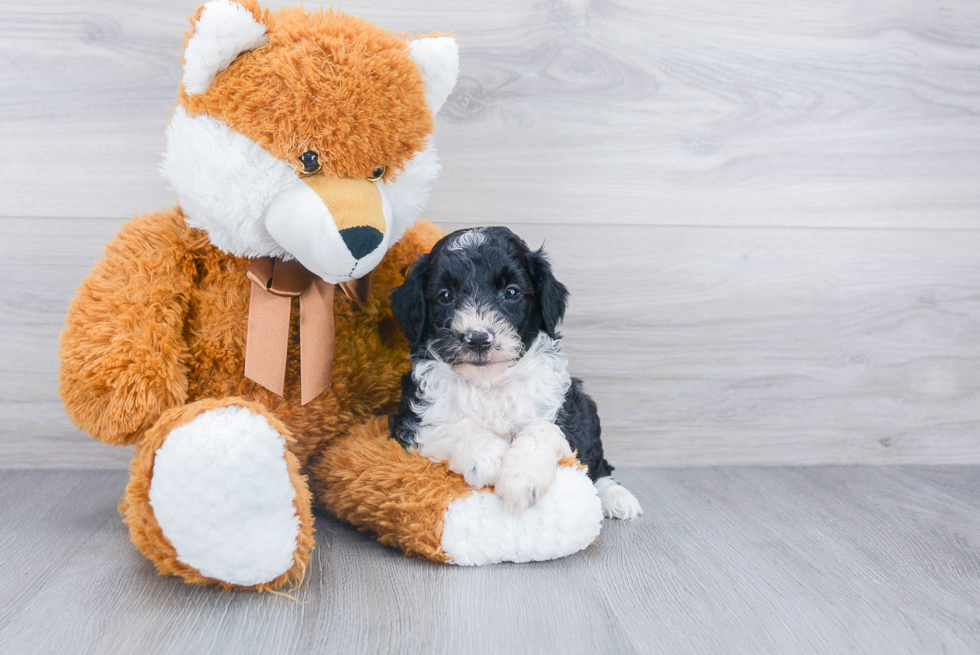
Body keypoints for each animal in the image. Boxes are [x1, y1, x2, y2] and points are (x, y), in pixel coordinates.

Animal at [390, 228, 644, 520]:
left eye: (511, 292)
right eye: (445, 296)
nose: (478, 338)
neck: (489, 382)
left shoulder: (565, 415)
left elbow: (542, 429)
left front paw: (521, 479)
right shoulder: (408, 423)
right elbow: (452, 427)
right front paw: (488, 457)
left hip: (586, 408)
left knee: (598, 463)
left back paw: (616, 496)